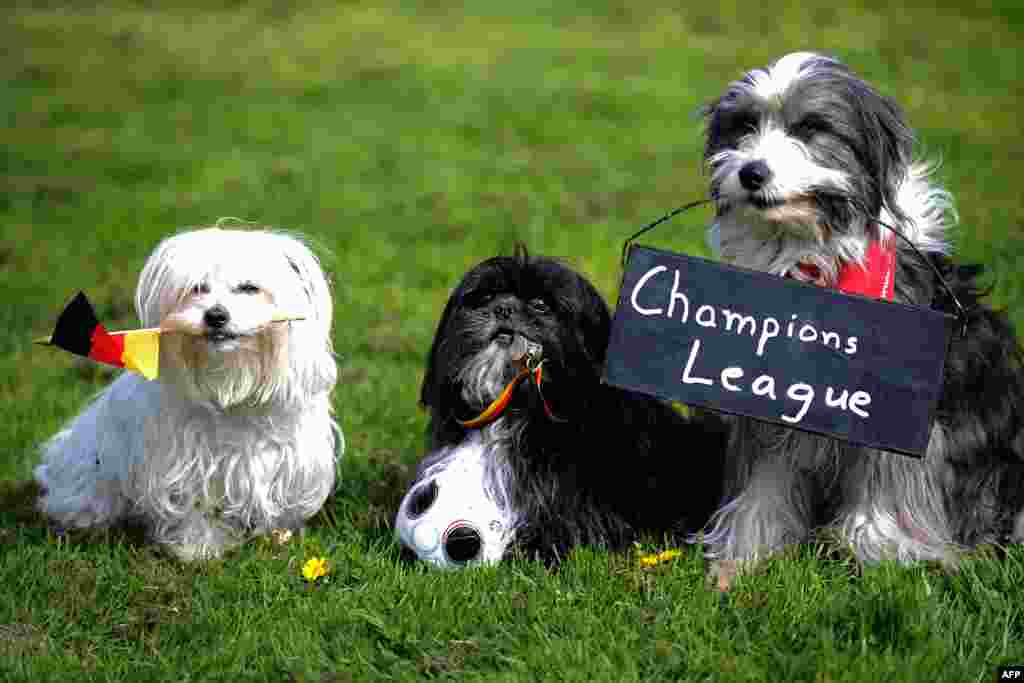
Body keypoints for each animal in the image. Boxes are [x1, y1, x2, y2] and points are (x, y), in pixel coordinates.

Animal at [36, 229, 339, 561]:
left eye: (249, 288)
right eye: (197, 288)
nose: (216, 316)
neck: (231, 387)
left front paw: (278, 536)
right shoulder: (184, 465)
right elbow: (195, 507)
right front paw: (199, 549)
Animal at [700, 52, 1024, 581]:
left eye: (811, 127)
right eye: (744, 125)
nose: (751, 173)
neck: (812, 265)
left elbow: (888, 484)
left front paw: (879, 553)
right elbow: (762, 486)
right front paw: (743, 556)